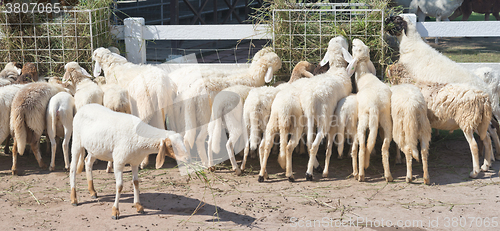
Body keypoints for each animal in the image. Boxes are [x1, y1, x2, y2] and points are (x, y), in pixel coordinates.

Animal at [346, 38, 392, 182]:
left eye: (355, 48)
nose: (354, 40)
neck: (364, 75)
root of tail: (375, 106)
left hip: (363, 120)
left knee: (362, 146)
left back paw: (361, 174)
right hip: (386, 119)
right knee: (384, 147)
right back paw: (388, 175)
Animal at [384, 15, 494, 177]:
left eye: (396, 20)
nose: (385, 21)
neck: (411, 45)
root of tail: (485, 92)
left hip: (469, 119)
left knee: (483, 139)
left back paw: (480, 167)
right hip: (481, 120)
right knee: (487, 137)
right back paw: (487, 163)